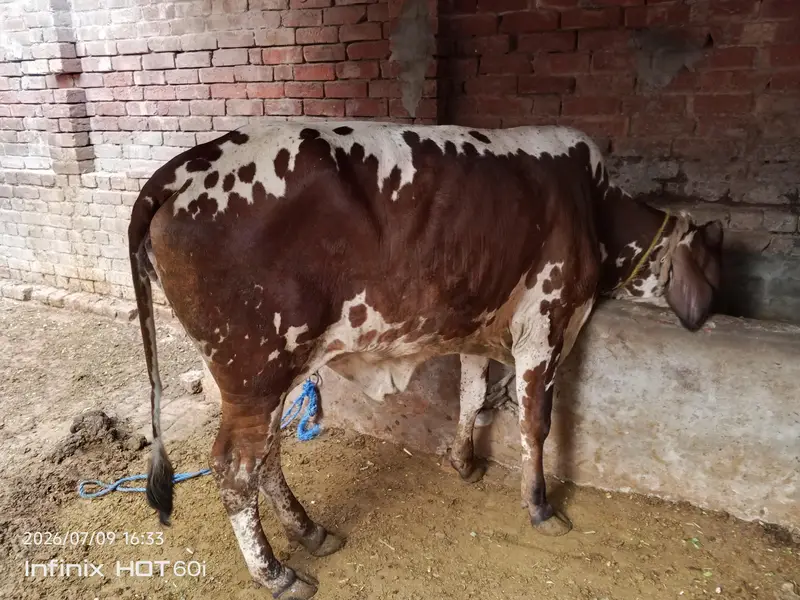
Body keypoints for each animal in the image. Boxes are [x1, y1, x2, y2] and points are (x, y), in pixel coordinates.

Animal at [128, 121, 722, 599]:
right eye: (713, 263)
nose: (716, 305)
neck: (594, 206)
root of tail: (175, 172)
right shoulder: (545, 325)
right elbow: (536, 424)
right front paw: (540, 506)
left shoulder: (479, 329)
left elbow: (472, 395)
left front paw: (464, 462)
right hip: (256, 370)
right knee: (235, 469)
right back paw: (276, 574)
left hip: (270, 375)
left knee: (266, 460)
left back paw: (311, 532)